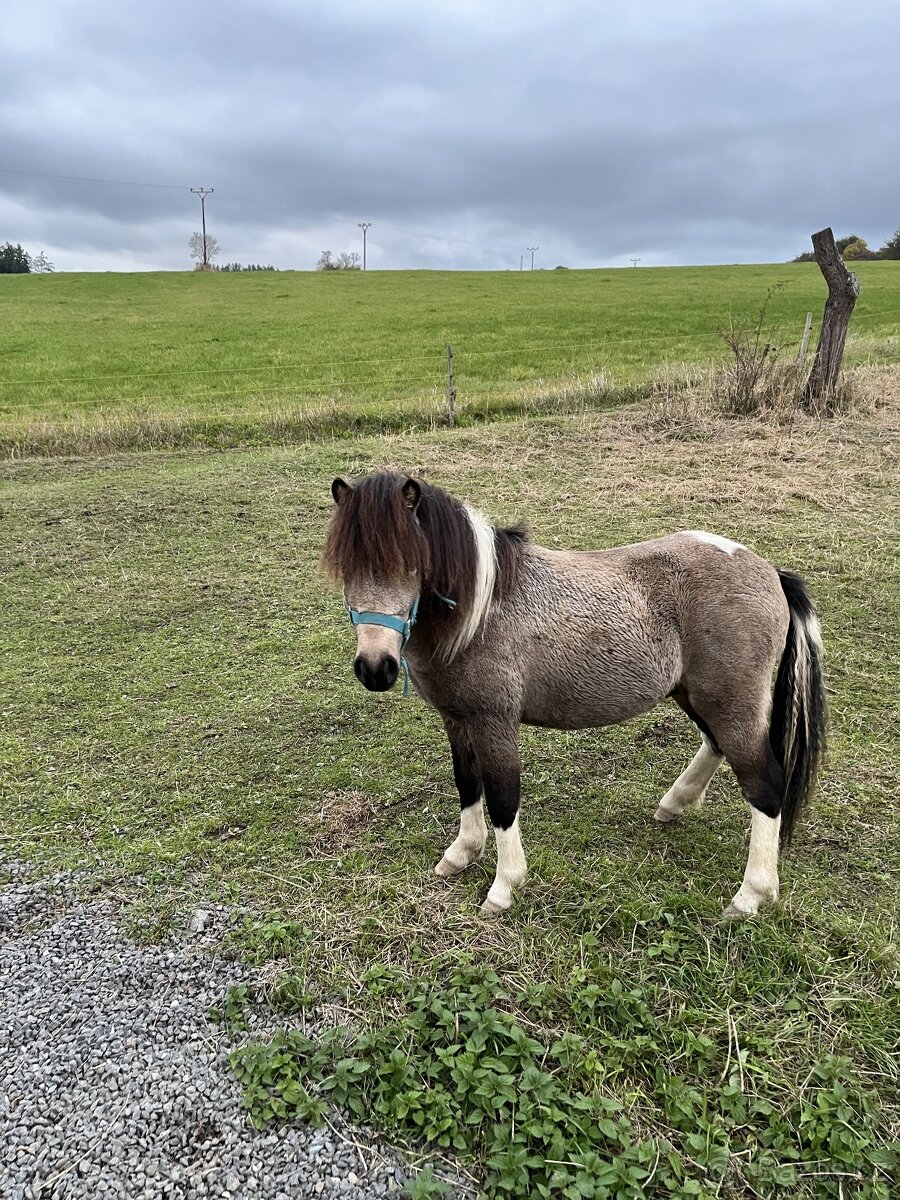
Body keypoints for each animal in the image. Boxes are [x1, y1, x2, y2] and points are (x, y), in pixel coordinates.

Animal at [323, 471, 826, 919]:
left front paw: (504, 887)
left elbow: (503, 796)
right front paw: (462, 853)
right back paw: (675, 804)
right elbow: (467, 784)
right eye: (346, 567)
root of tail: (771, 572)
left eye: (410, 563)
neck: (479, 613)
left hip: (730, 700)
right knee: (717, 746)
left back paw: (751, 896)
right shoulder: (456, 718)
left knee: (764, 786)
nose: (375, 668)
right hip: (697, 694)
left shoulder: (494, 721)